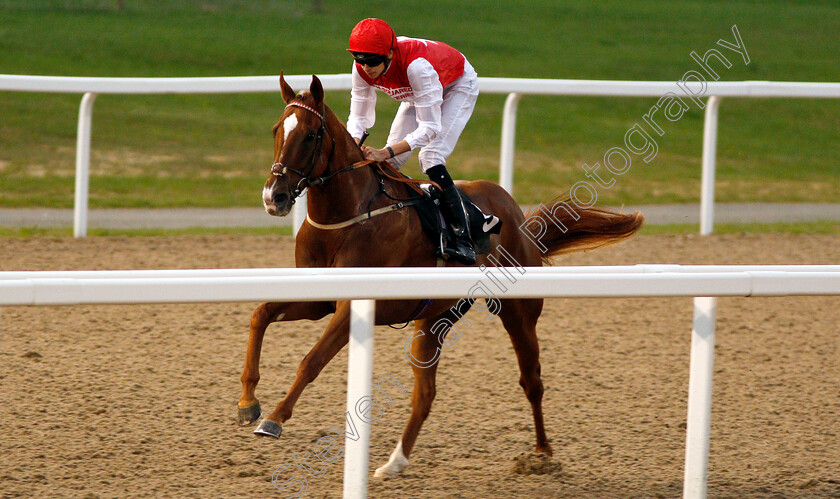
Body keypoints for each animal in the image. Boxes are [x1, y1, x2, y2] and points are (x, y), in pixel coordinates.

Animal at [236, 73, 644, 476]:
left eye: (309, 135)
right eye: (276, 130)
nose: (274, 197)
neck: (347, 217)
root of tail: (516, 215)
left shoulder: (352, 304)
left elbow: (311, 360)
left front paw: (274, 418)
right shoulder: (317, 297)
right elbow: (259, 315)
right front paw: (247, 402)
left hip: (518, 312)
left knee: (532, 380)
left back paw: (542, 454)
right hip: (436, 316)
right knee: (426, 393)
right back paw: (395, 462)